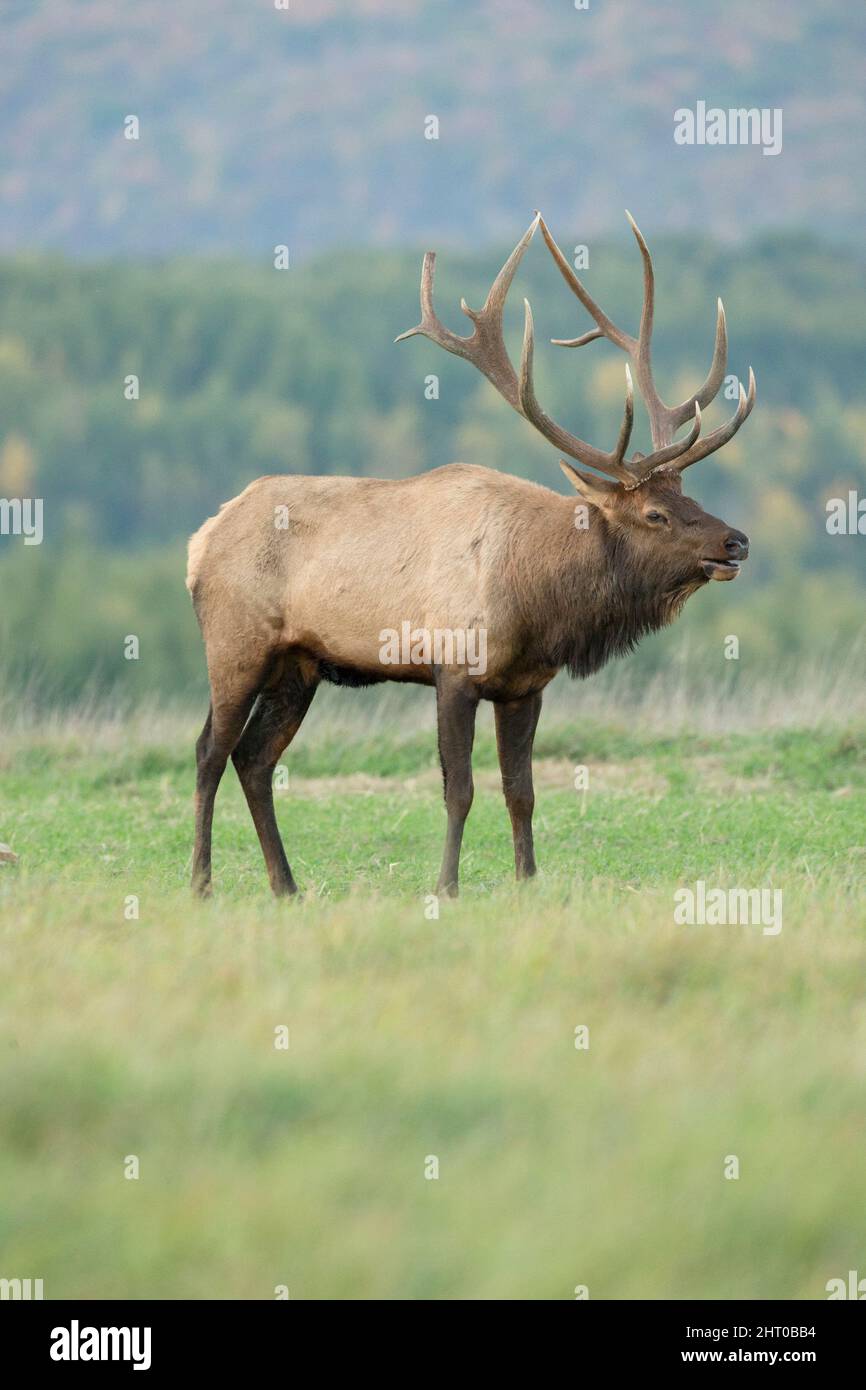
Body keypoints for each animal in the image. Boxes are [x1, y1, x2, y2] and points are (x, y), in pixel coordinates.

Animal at [187, 211, 754, 899]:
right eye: (655, 513)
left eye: (687, 493)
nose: (735, 541)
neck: (538, 598)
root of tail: (201, 540)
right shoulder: (453, 666)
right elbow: (459, 791)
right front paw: (446, 887)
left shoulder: (525, 686)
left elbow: (522, 793)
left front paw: (528, 882)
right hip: (235, 643)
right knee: (210, 751)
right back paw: (201, 882)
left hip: (299, 665)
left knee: (254, 758)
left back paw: (286, 886)